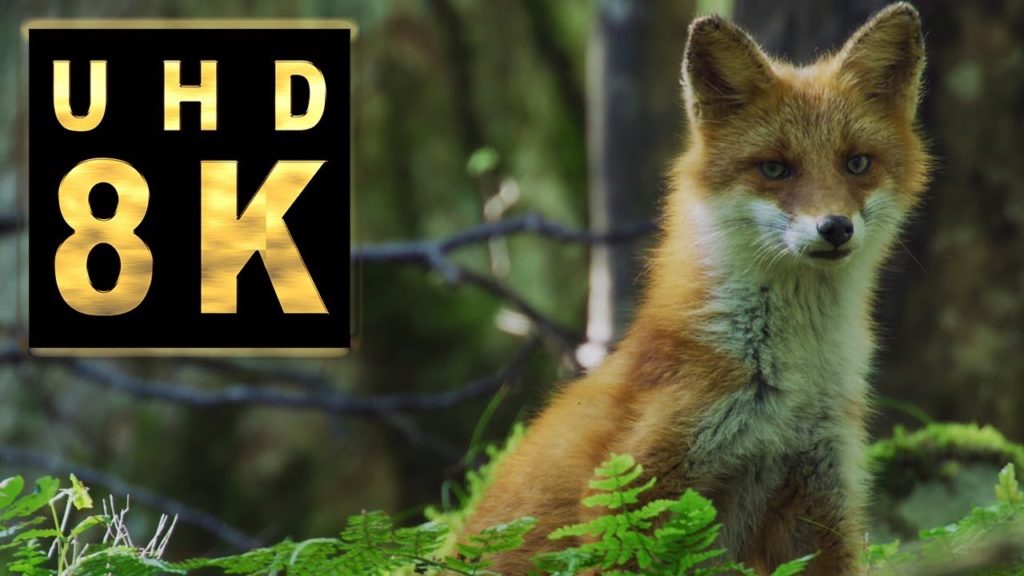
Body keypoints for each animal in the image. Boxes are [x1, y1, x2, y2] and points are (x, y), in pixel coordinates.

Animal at [461, 3, 930, 575]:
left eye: (857, 163)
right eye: (775, 168)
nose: (835, 228)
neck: (790, 387)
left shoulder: (822, 494)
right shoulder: (638, 492)